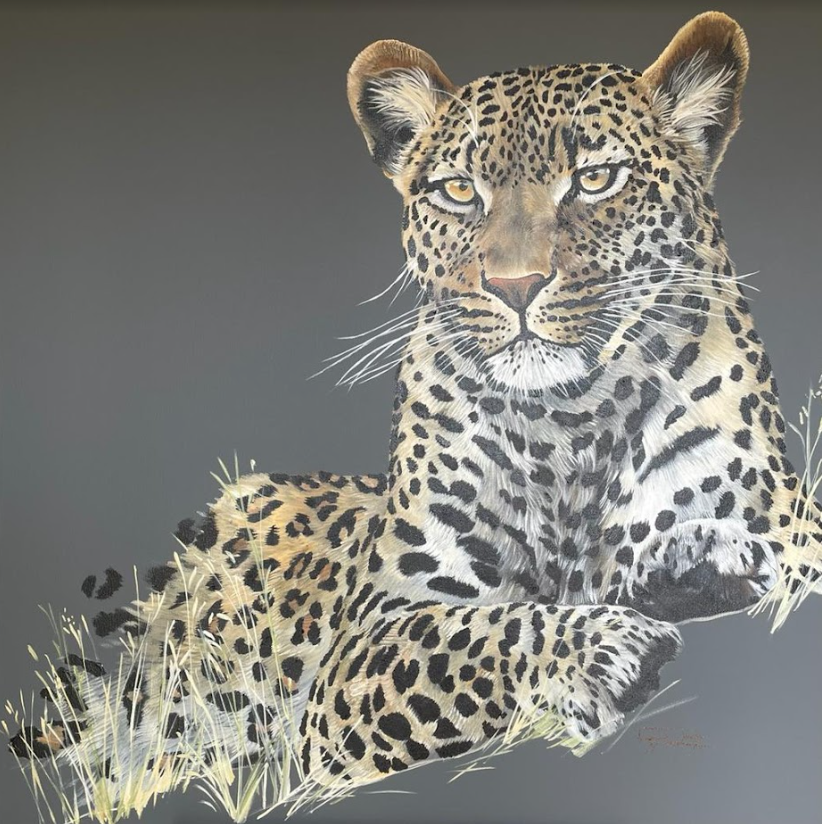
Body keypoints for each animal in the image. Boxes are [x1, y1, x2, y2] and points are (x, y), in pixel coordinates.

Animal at [8, 11, 822, 821]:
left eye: (595, 179)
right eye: (459, 190)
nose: (515, 286)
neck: (571, 421)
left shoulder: (778, 516)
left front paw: (700, 558)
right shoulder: (364, 648)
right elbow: (485, 631)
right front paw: (605, 648)